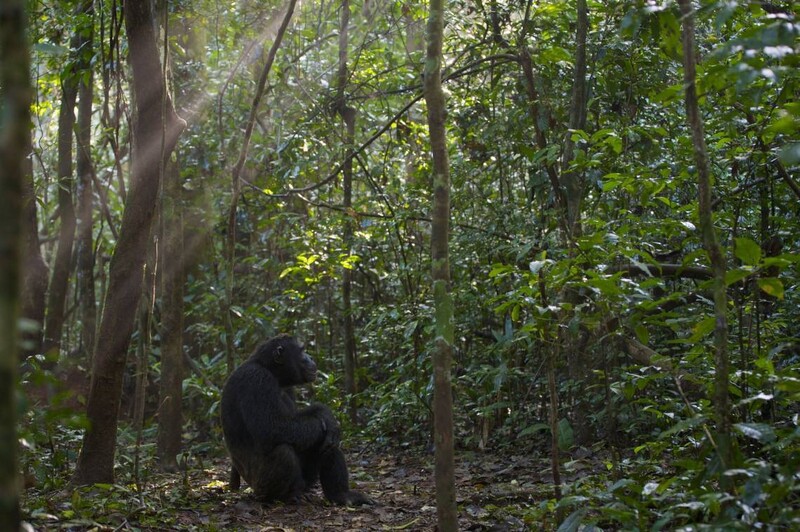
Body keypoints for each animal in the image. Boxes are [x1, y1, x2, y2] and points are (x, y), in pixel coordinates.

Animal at [219, 334, 368, 504]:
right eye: (302, 351)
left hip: (307, 480)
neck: (273, 373)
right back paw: (285, 496)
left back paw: (341, 495)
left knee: (327, 445)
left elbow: (295, 421)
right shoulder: (256, 380)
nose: (310, 357)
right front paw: (324, 420)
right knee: (285, 453)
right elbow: (273, 427)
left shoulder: (289, 389)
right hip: (260, 487)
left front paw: (324, 413)